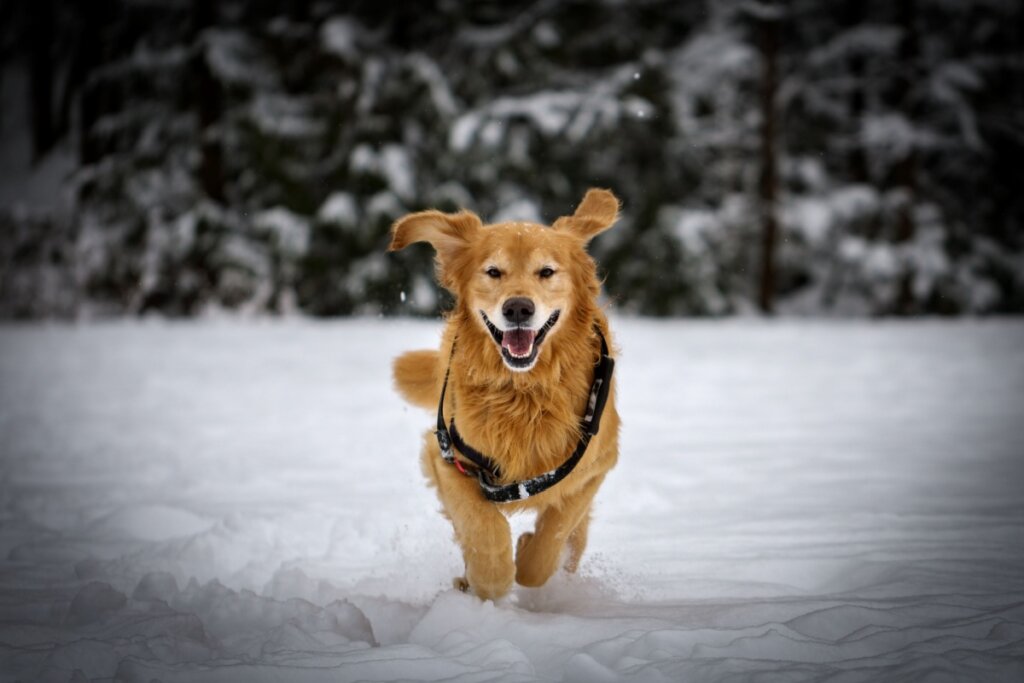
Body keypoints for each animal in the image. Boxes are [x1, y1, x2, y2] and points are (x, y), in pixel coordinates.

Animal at [387, 187, 618, 598]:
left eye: (546, 272)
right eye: (493, 271)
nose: (518, 308)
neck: (523, 390)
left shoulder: (596, 464)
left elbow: (552, 536)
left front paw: (527, 556)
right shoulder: (447, 458)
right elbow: (483, 527)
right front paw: (490, 580)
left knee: (574, 541)